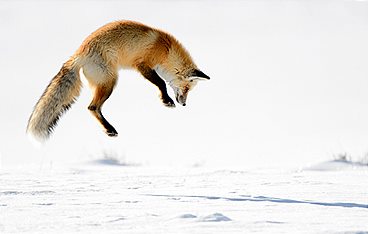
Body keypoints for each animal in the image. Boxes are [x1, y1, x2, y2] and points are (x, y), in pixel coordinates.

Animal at [27, 20, 208, 142]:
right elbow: (161, 83)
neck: (166, 50)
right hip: (110, 82)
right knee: (92, 107)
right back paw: (110, 129)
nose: (184, 104)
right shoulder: (142, 64)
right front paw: (167, 100)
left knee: (93, 107)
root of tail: (79, 53)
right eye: (186, 88)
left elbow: (161, 83)